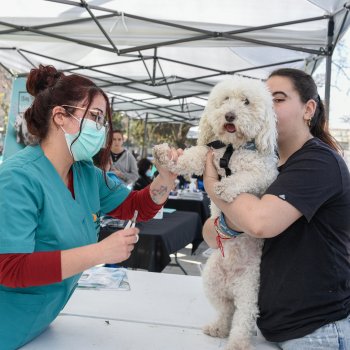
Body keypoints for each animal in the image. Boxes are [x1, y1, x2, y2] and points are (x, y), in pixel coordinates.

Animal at [153, 76, 278, 350]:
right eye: (225, 100)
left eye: (246, 102)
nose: (230, 115)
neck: (232, 149)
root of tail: (231, 283)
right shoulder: (207, 154)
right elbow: (190, 156)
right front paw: (166, 155)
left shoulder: (263, 174)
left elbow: (244, 177)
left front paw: (225, 187)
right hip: (212, 282)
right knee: (226, 310)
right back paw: (218, 328)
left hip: (249, 289)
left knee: (242, 317)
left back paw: (238, 343)